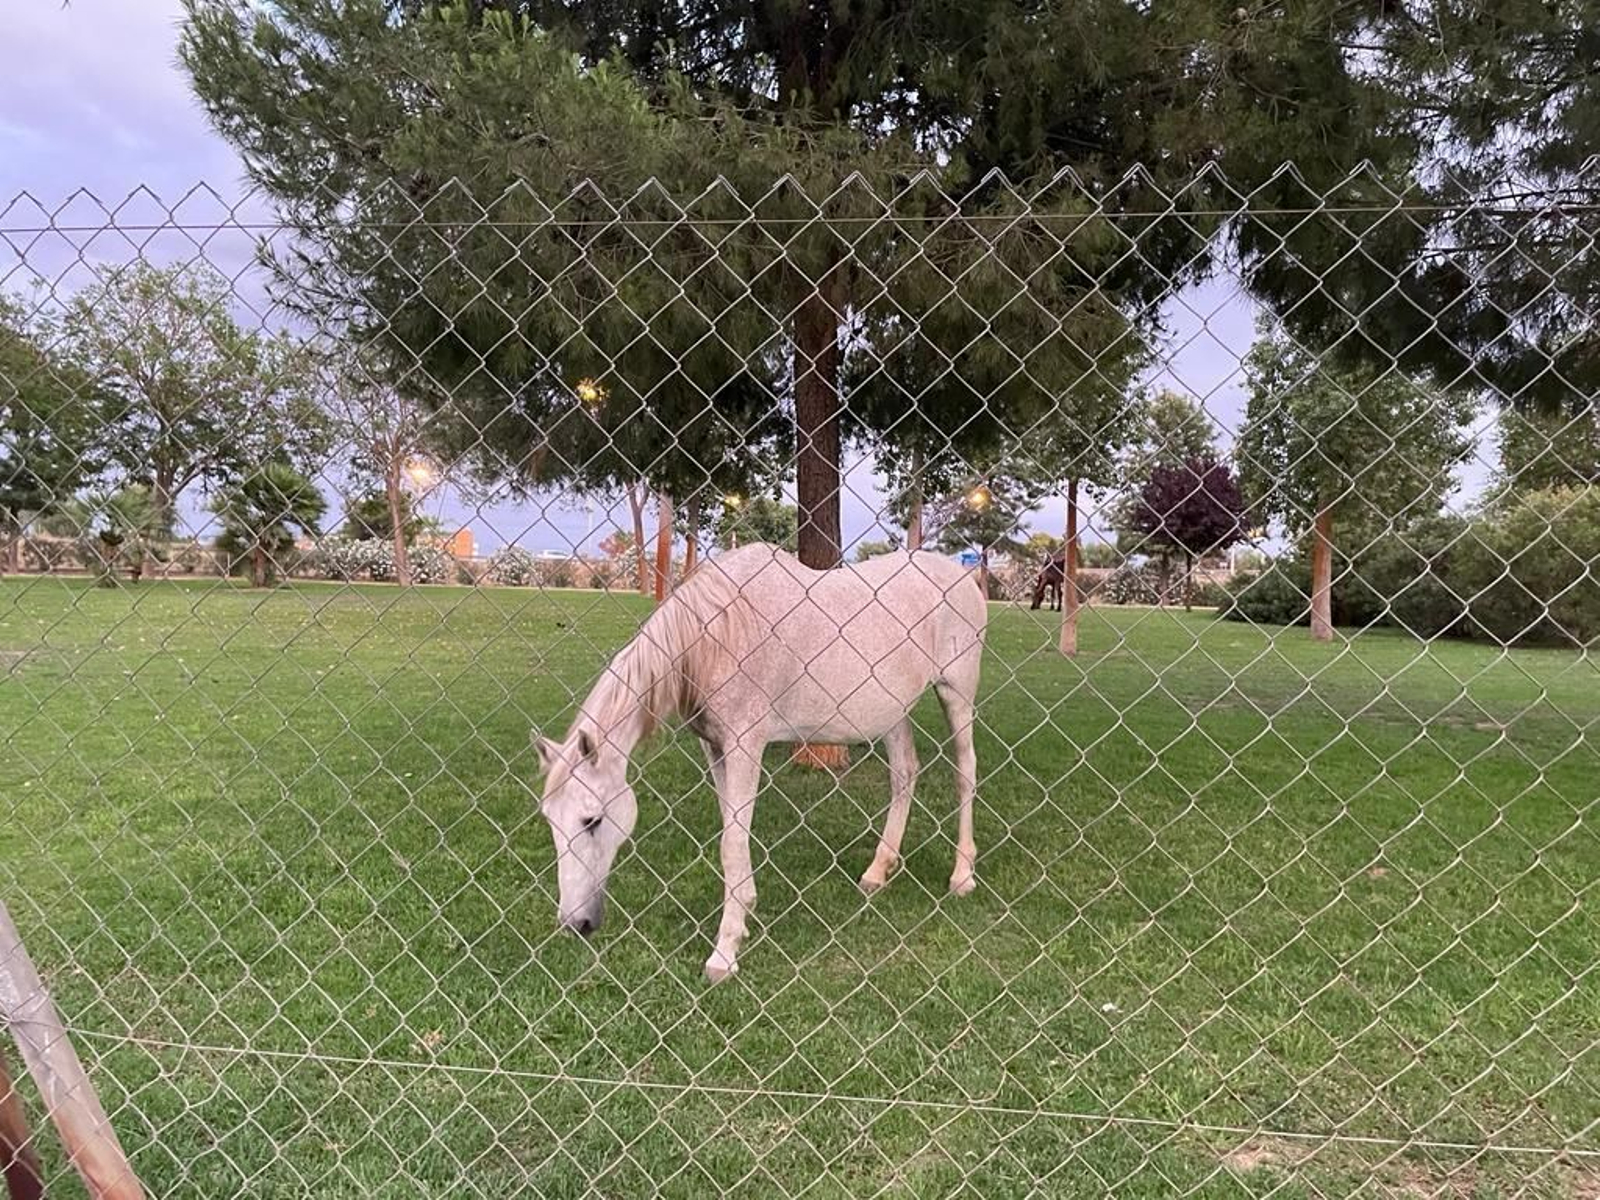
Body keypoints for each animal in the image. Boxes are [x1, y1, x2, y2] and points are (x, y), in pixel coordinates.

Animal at [532, 543, 989, 983]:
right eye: (550, 820)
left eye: (591, 820)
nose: (576, 924)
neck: (716, 633)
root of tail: (963, 577)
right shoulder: (715, 749)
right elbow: (732, 828)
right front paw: (746, 909)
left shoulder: (745, 746)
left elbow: (731, 844)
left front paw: (724, 952)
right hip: (894, 714)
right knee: (904, 774)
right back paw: (878, 871)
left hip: (956, 694)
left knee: (965, 773)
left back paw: (962, 876)